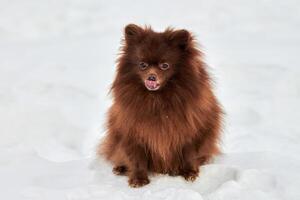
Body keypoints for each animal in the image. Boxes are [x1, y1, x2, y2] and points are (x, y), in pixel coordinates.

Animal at [99, 23, 223, 188]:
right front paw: (138, 180)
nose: (151, 77)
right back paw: (120, 168)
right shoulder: (132, 132)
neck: (157, 99)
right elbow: (137, 158)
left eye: (165, 65)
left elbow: (189, 153)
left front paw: (190, 173)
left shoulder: (192, 130)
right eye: (142, 65)